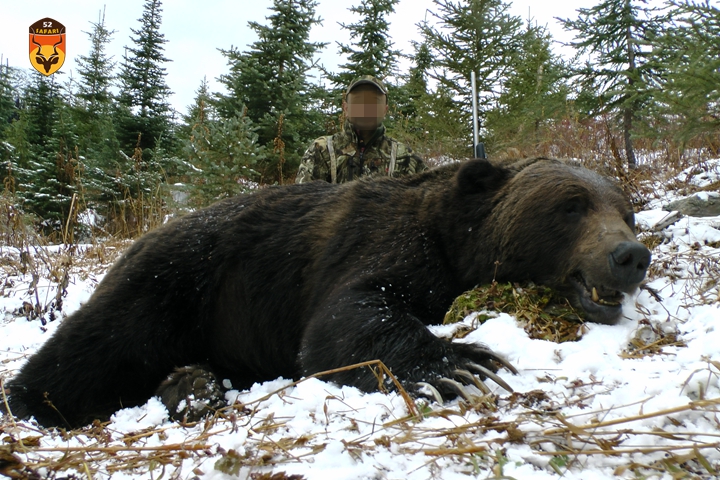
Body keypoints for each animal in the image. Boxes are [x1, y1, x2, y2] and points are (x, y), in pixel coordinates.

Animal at [5, 158, 648, 428]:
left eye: (625, 211)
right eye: (571, 206)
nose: (629, 256)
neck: (454, 237)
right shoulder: (390, 243)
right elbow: (344, 319)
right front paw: (459, 364)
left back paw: (192, 387)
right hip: (180, 282)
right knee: (97, 345)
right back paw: (35, 400)